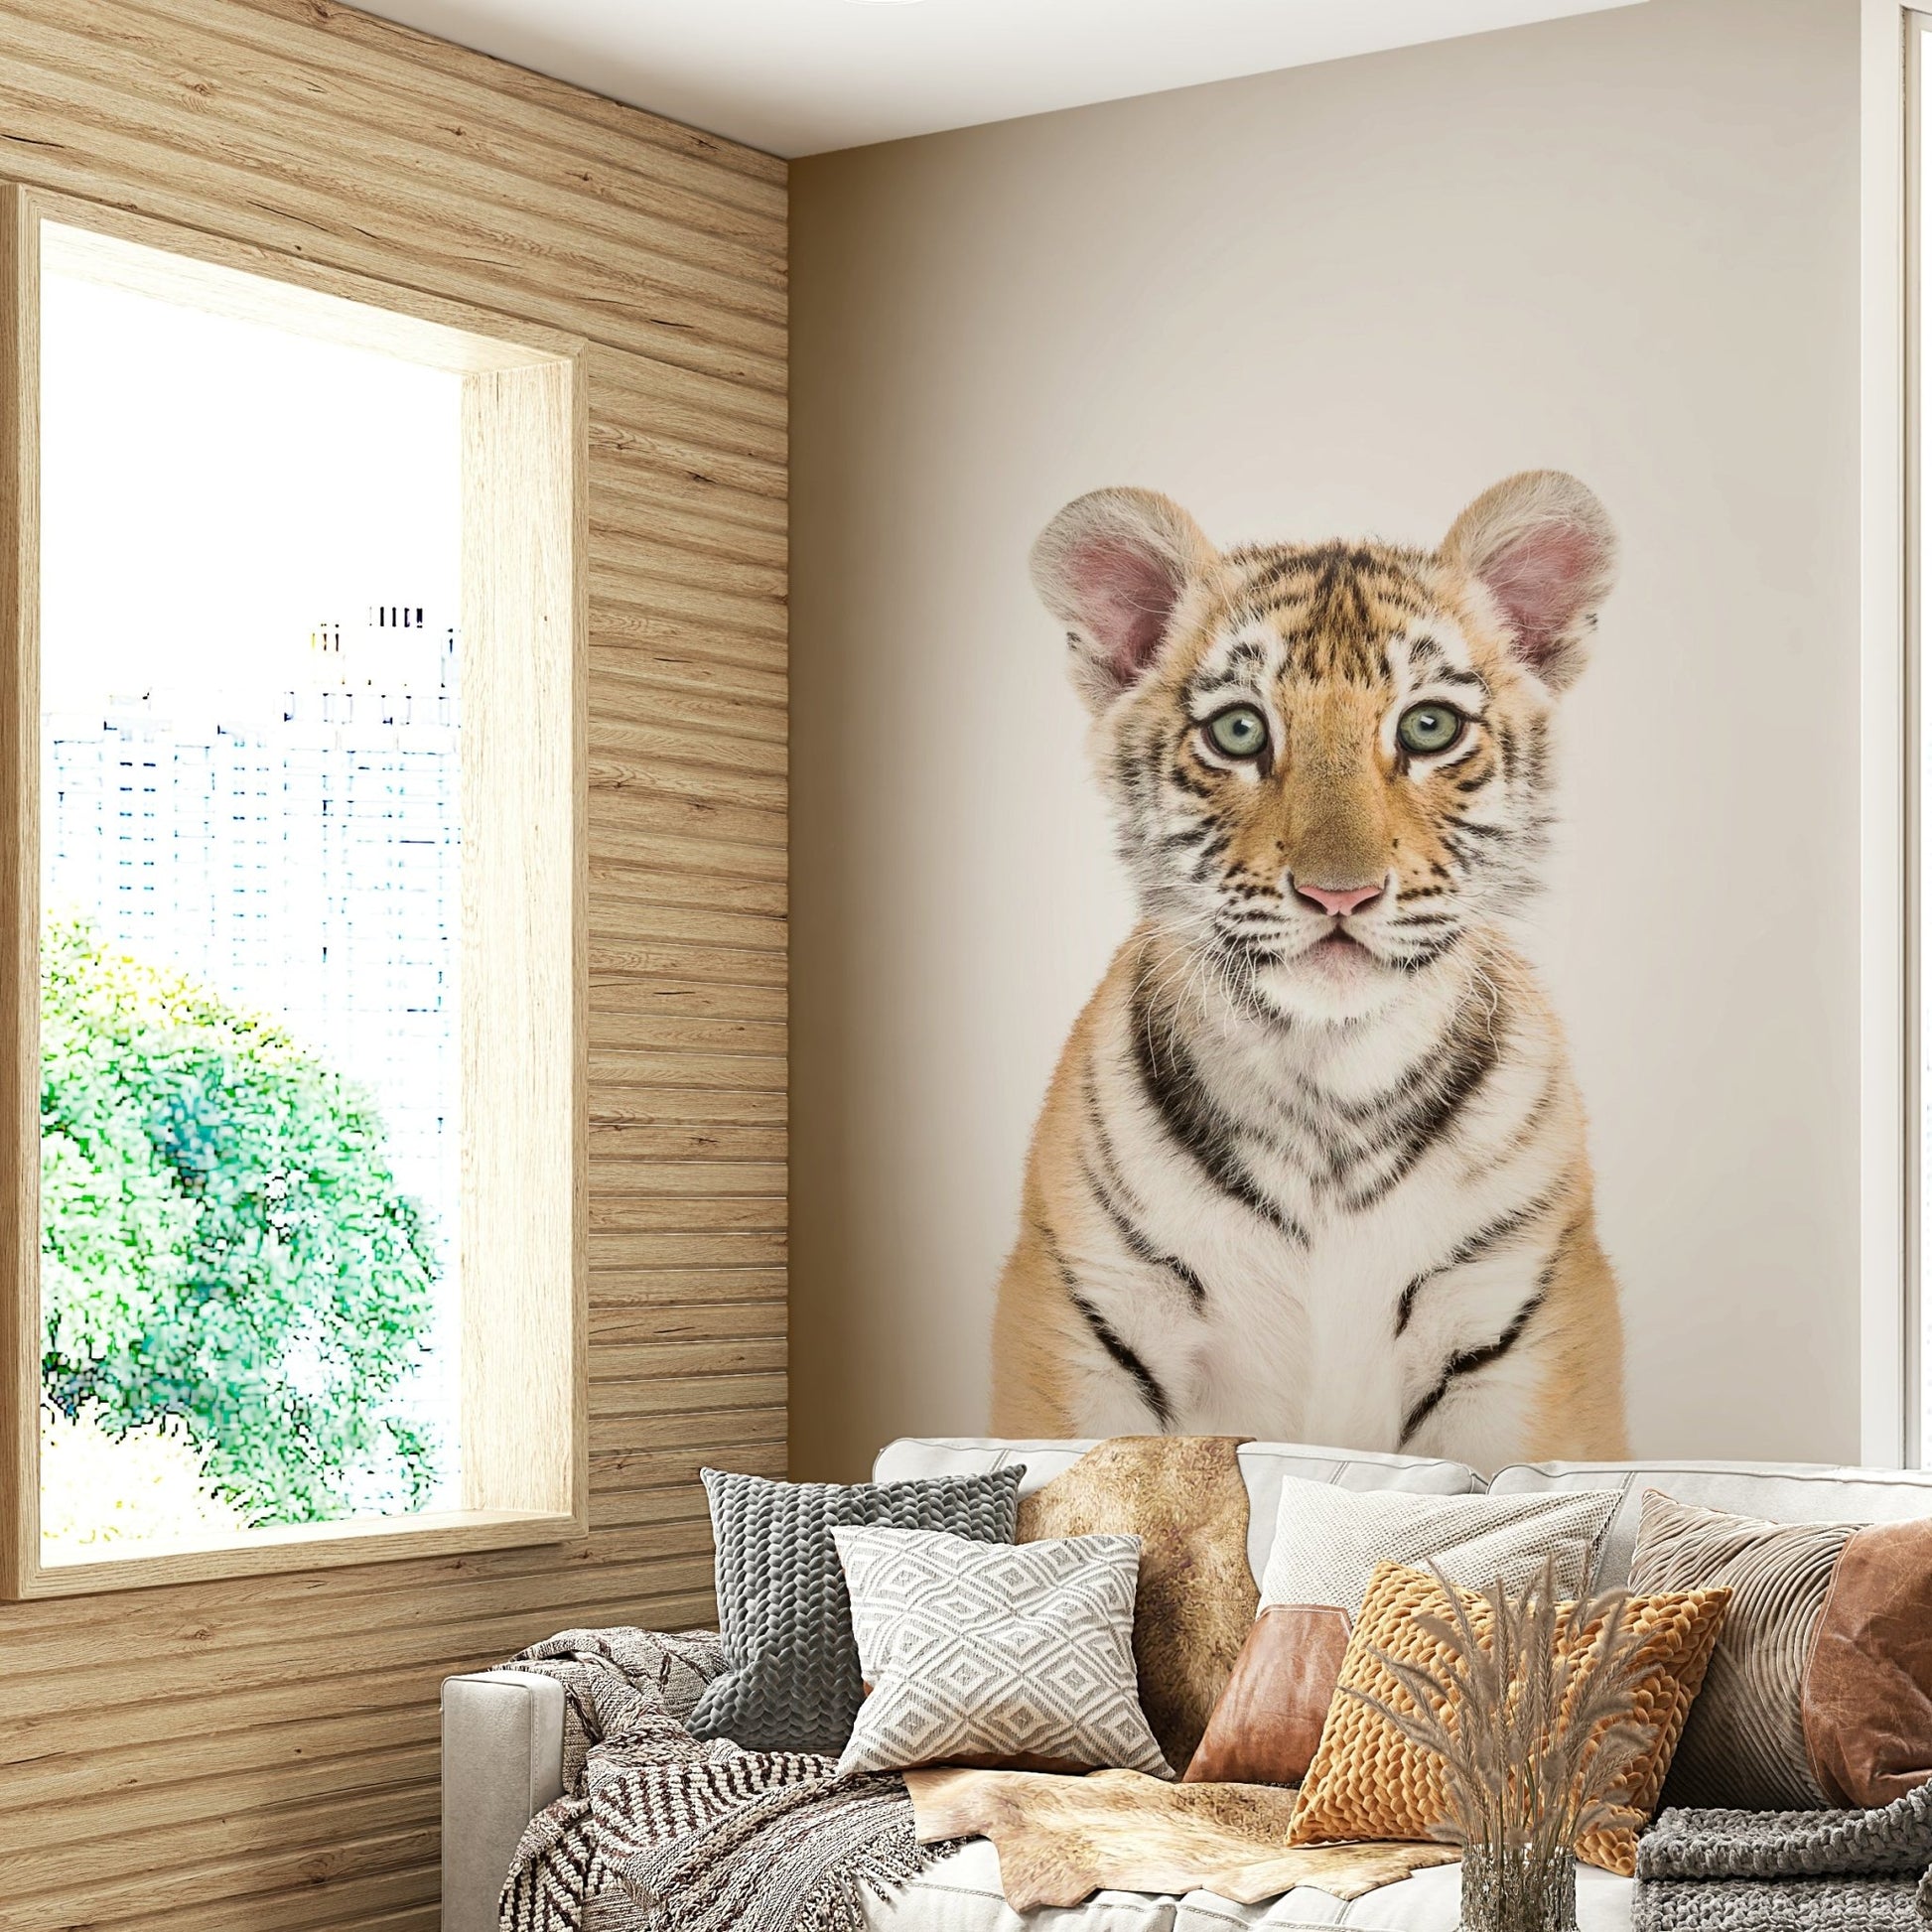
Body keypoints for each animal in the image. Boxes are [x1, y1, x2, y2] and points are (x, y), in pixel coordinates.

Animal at [990, 471, 1628, 1472]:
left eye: (1429, 727)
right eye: (1239, 730)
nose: (1341, 893)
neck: (1330, 1080)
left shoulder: (1520, 1329)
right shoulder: (1085, 1316)